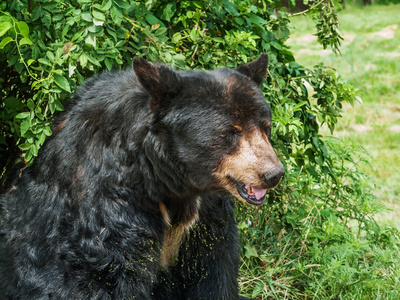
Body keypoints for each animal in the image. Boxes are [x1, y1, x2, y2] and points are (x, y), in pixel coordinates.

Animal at [0, 55, 284, 298]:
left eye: (265, 126)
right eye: (230, 132)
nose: (273, 174)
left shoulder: (207, 212)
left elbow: (213, 265)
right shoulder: (109, 204)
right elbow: (106, 272)